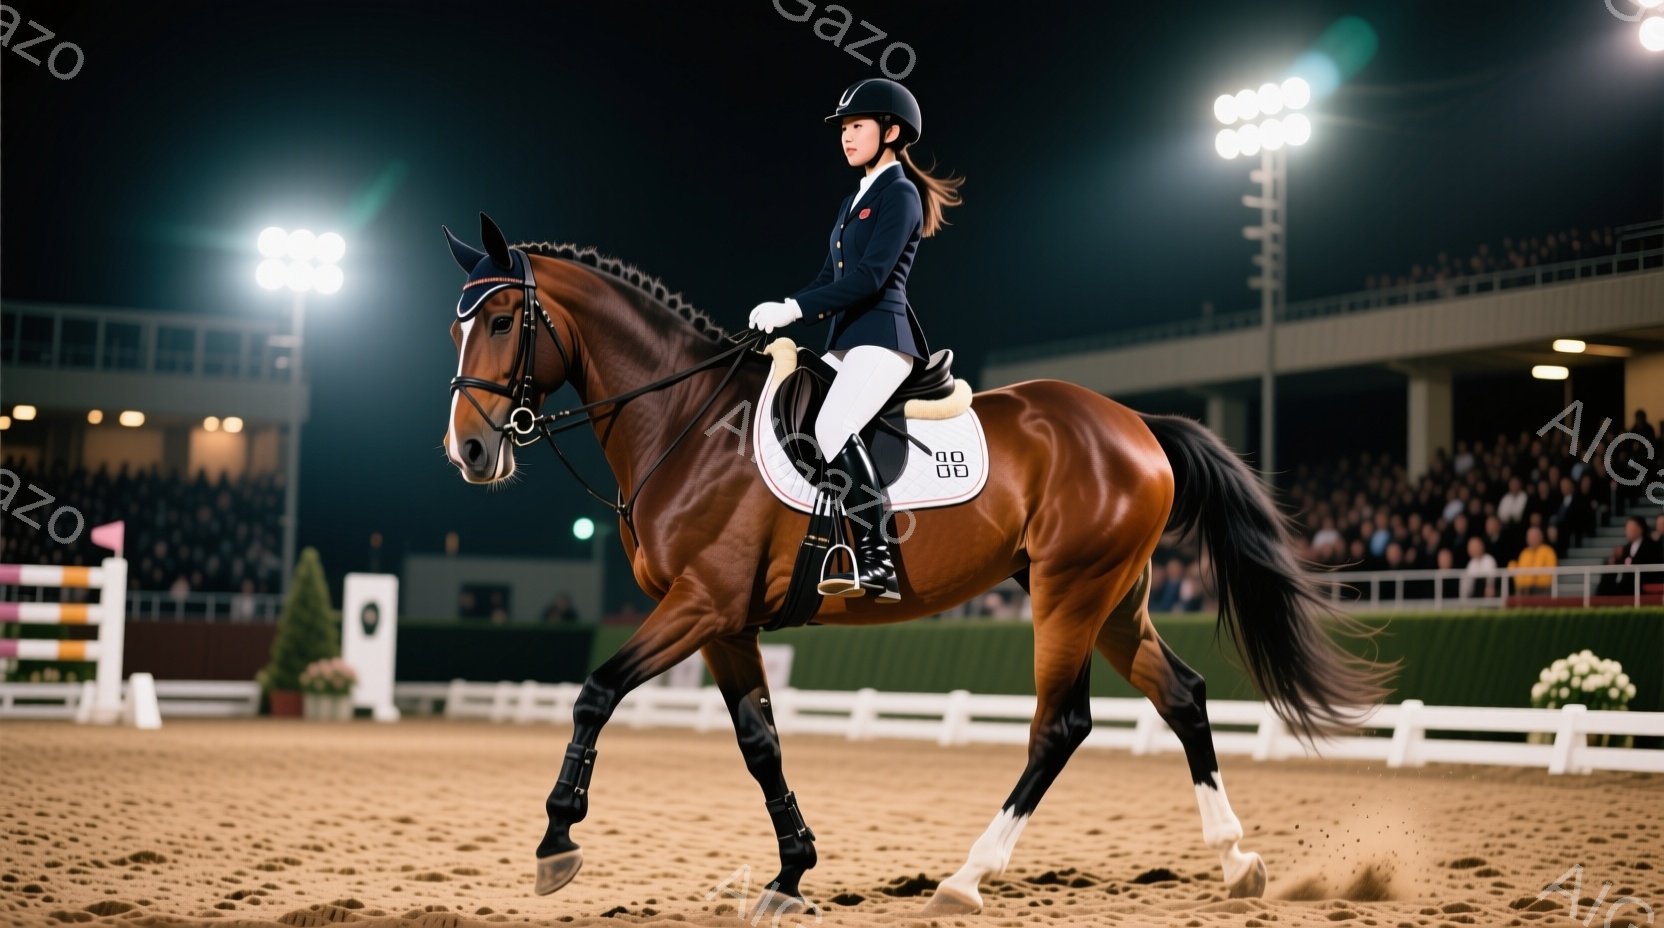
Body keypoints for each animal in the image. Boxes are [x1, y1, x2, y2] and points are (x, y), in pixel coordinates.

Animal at [440, 214, 1391, 917]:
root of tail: (1136, 423)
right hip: (1113, 597)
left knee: (1060, 725)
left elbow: (596, 691)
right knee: (1184, 697)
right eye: (458, 324)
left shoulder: (699, 603)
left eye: (502, 321)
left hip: (1069, 593)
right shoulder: (727, 624)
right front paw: (791, 873)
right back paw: (1236, 863)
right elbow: (760, 744)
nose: (471, 452)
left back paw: (966, 879)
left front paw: (556, 843)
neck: (684, 419)